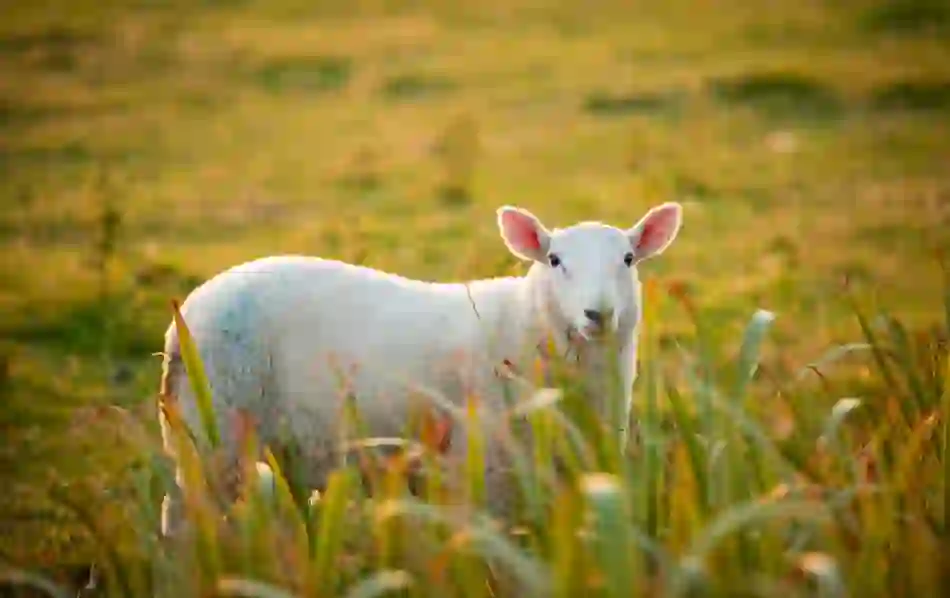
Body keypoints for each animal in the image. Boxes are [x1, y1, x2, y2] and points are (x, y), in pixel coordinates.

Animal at [157, 202, 683, 537]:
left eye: (628, 258)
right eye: (554, 260)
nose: (598, 314)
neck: (524, 320)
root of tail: (187, 312)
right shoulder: (485, 468)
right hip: (213, 432)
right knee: (183, 514)